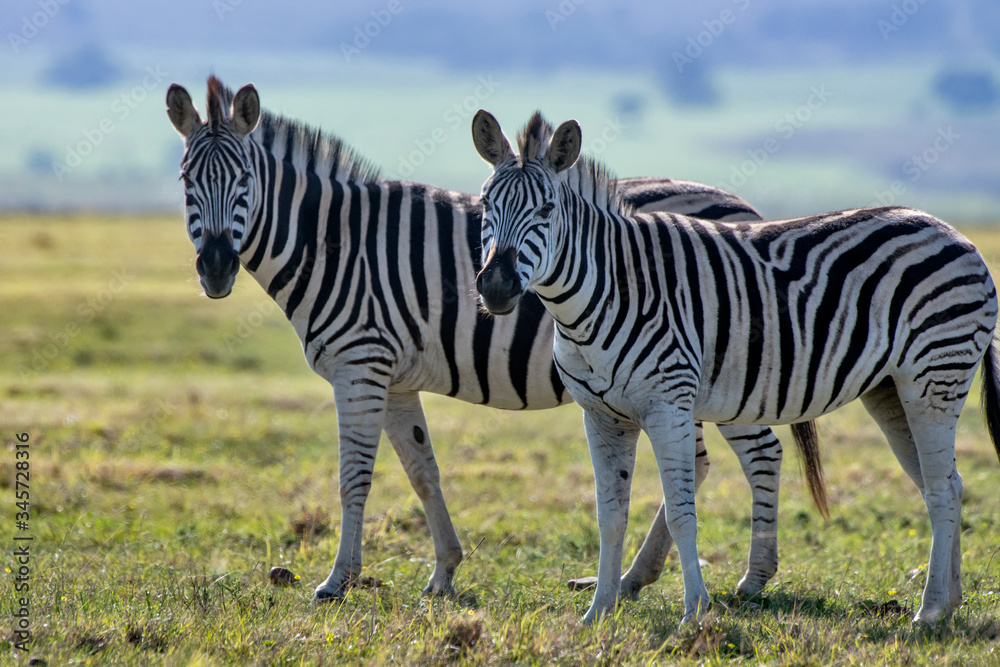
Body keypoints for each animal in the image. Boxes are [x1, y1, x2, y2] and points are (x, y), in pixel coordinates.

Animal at [164, 76, 820, 604]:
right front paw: (444, 573)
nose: (216, 268)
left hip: (727, 373)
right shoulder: (393, 380)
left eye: (244, 181)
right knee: (706, 463)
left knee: (762, 453)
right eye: (187, 180)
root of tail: (744, 208)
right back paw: (636, 579)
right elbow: (422, 471)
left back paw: (752, 580)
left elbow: (355, 477)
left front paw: (336, 582)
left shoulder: (360, 366)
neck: (333, 244)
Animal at [471, 109, 1000, 625]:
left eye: (546, 211)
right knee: (946, 484)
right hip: (890, 390)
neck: (604, 294)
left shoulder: (668, 406)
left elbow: (681, 512)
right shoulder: (601, 416)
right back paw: (949, 603)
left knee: (941, 489)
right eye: (483, 207)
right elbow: (610, 515)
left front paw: (694, 613)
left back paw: (929, 611)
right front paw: (597, 612)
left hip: (936, 377)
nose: (496, 286)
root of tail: (955, 233)